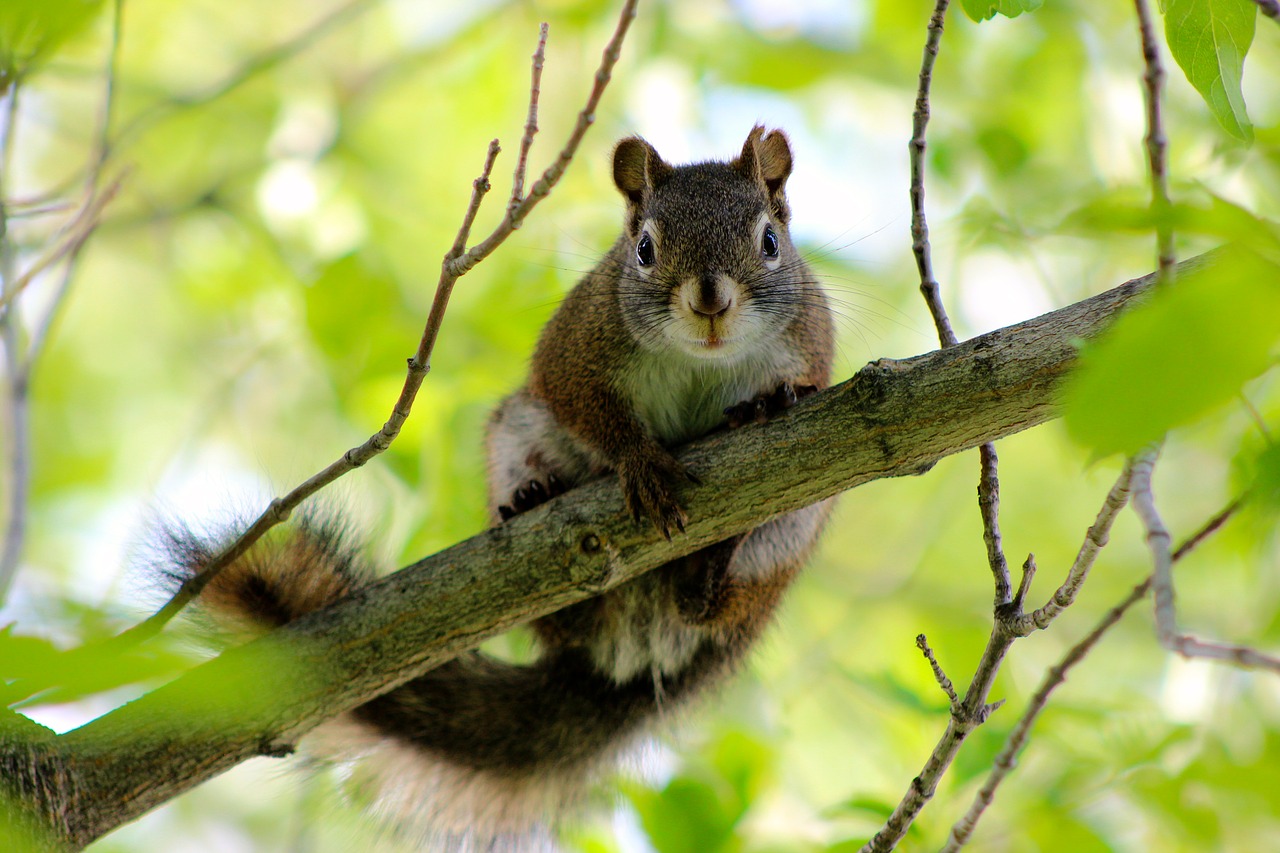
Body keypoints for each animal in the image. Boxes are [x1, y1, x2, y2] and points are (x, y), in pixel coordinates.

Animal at [165, 122, 839, 845]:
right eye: (645, 248)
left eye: (770, 241)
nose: (710, 301)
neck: (702, 359)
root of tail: (636, 661)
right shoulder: (576, 347)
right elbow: (585, 408)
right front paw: (640, 461)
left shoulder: (811, 341)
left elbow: (807, 382)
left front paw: (771, 401)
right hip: (517, 436)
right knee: (573, 611)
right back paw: (536, 505)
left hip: (786, 542)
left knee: (707, 608)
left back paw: (711, 563)